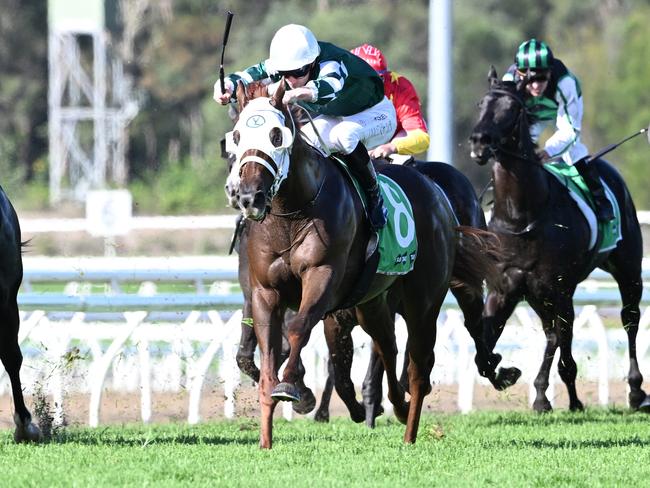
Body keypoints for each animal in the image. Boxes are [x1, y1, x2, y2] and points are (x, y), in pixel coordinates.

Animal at [233, 81, 512, 450]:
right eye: (237, 136)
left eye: (276, 135)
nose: (249, 196)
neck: (290, 214)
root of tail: (436, 191)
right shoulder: (266, 292)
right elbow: (270, 354)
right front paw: (266, 435)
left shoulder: (323, 279)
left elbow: (298, 330)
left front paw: (292, 386)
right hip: (373, 303)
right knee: (389, 347)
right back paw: (397, 405)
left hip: (425, 301)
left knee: (420, 365)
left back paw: (411, 429)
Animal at [468, 67, 644, 412]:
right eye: (481, 103)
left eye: (512, 108)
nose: (480, 141)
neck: (522, 216)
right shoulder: (504, 289)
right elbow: (484, 352)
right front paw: (506, 374)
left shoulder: (561, 288)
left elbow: (564, 349)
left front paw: (566, 400)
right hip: (541, 295)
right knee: (554, 334)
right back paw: (548, 394)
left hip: (628, 269)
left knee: (629, 320)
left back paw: (635, 390)